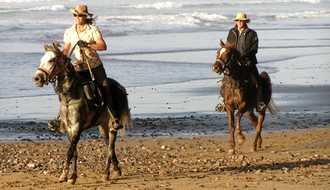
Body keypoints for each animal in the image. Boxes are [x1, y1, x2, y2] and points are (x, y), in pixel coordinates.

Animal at [32, 42, 131, 184]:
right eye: (42, 60)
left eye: (52, 60)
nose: (37, 78)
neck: (70, 96)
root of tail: (119, 87)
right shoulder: (69, 129)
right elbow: (74, 152)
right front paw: (72, 176)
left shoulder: (77, 128)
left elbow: (70, 152)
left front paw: (64, 175)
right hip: (103, 127)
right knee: (109, 146)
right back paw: (116, 170)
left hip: (112, 127)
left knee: (110, 148)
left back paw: (106, 174)